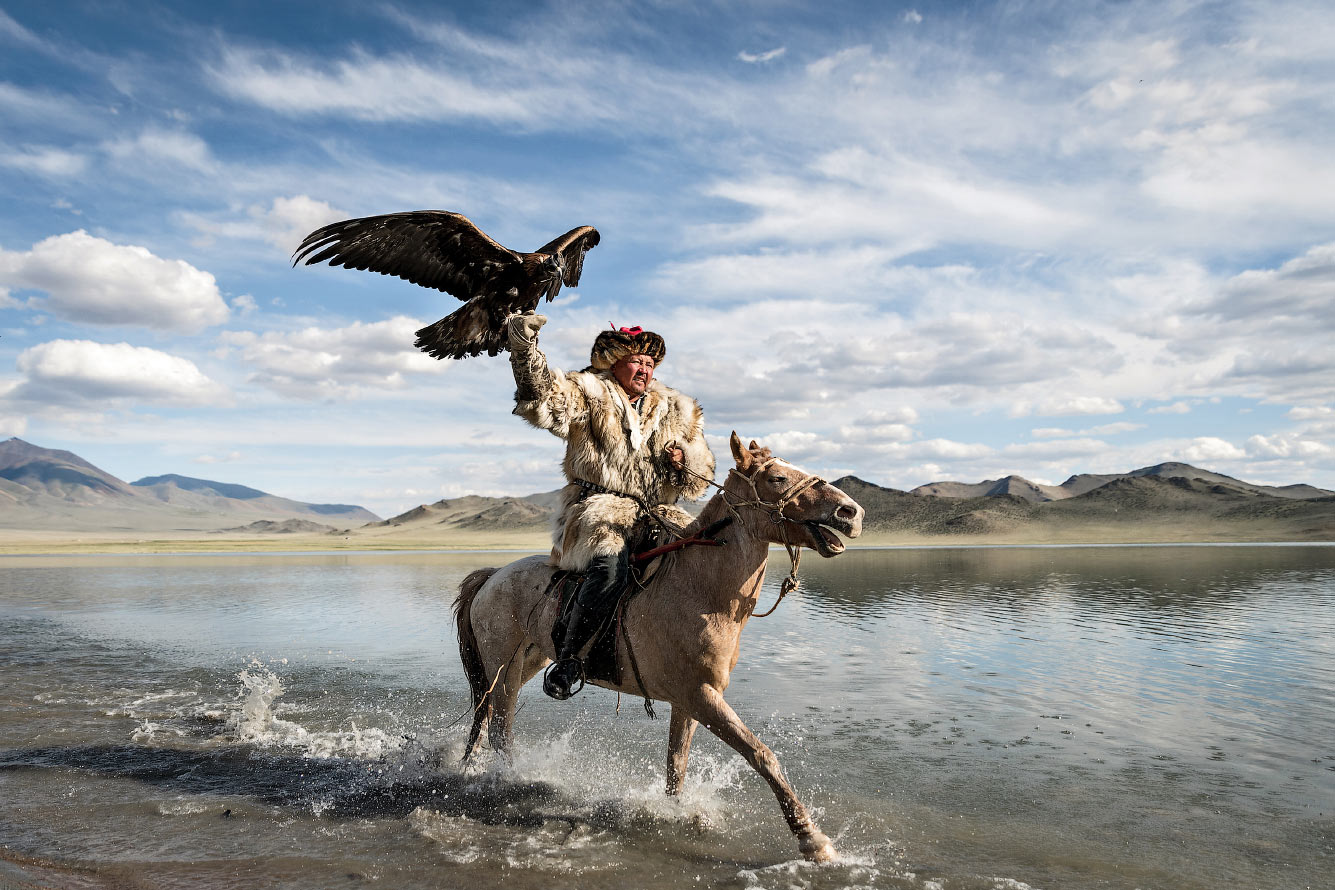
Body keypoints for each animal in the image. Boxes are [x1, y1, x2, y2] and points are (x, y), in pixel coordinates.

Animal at [453, 432, 859, 864]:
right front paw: (814, 841)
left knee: (491, 724)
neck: (702, 591)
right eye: (778, 478)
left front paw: (677, 813)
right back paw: (513, 780)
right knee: (500, 729)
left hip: (529, 660)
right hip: (503, 667)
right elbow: (761, 754)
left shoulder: (689, 701)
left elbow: (676, 764)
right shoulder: (701, 695)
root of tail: (493, 576)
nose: (851, 512)